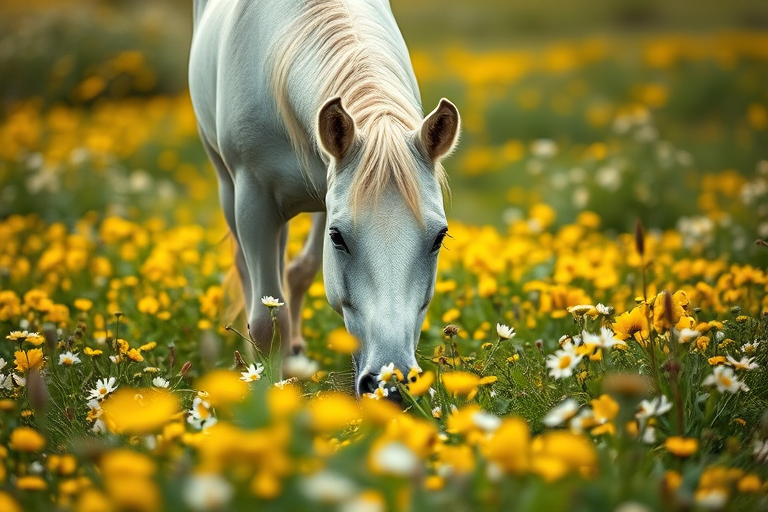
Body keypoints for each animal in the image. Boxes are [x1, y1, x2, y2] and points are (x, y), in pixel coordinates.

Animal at [188, 0, 460, 396]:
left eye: (439, 237)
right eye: (338, 237)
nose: (391, 386)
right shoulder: (254, 205)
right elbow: (266, 322)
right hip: (227, 182)